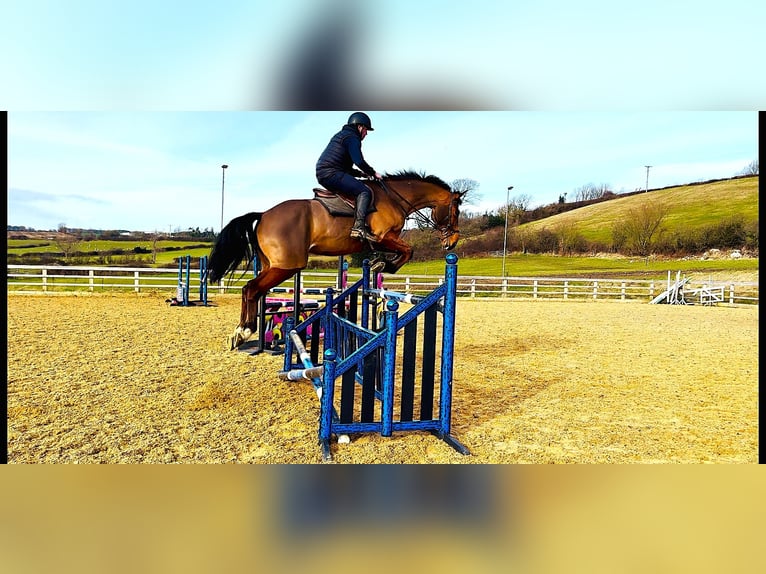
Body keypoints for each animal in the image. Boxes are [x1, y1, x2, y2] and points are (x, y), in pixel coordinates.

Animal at [207, 170, 464, 352]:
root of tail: (263, 215)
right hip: (286, 266)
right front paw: (385, 264)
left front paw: (380, 262)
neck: (395, 198)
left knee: (250, 290)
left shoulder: (382, 241)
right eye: (456, 212)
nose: (452, 242)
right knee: (251, 289)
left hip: (273, 265)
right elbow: (408, 251)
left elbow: (399, 252)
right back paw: (245, 331)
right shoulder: (383, 237)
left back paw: (238, 334)